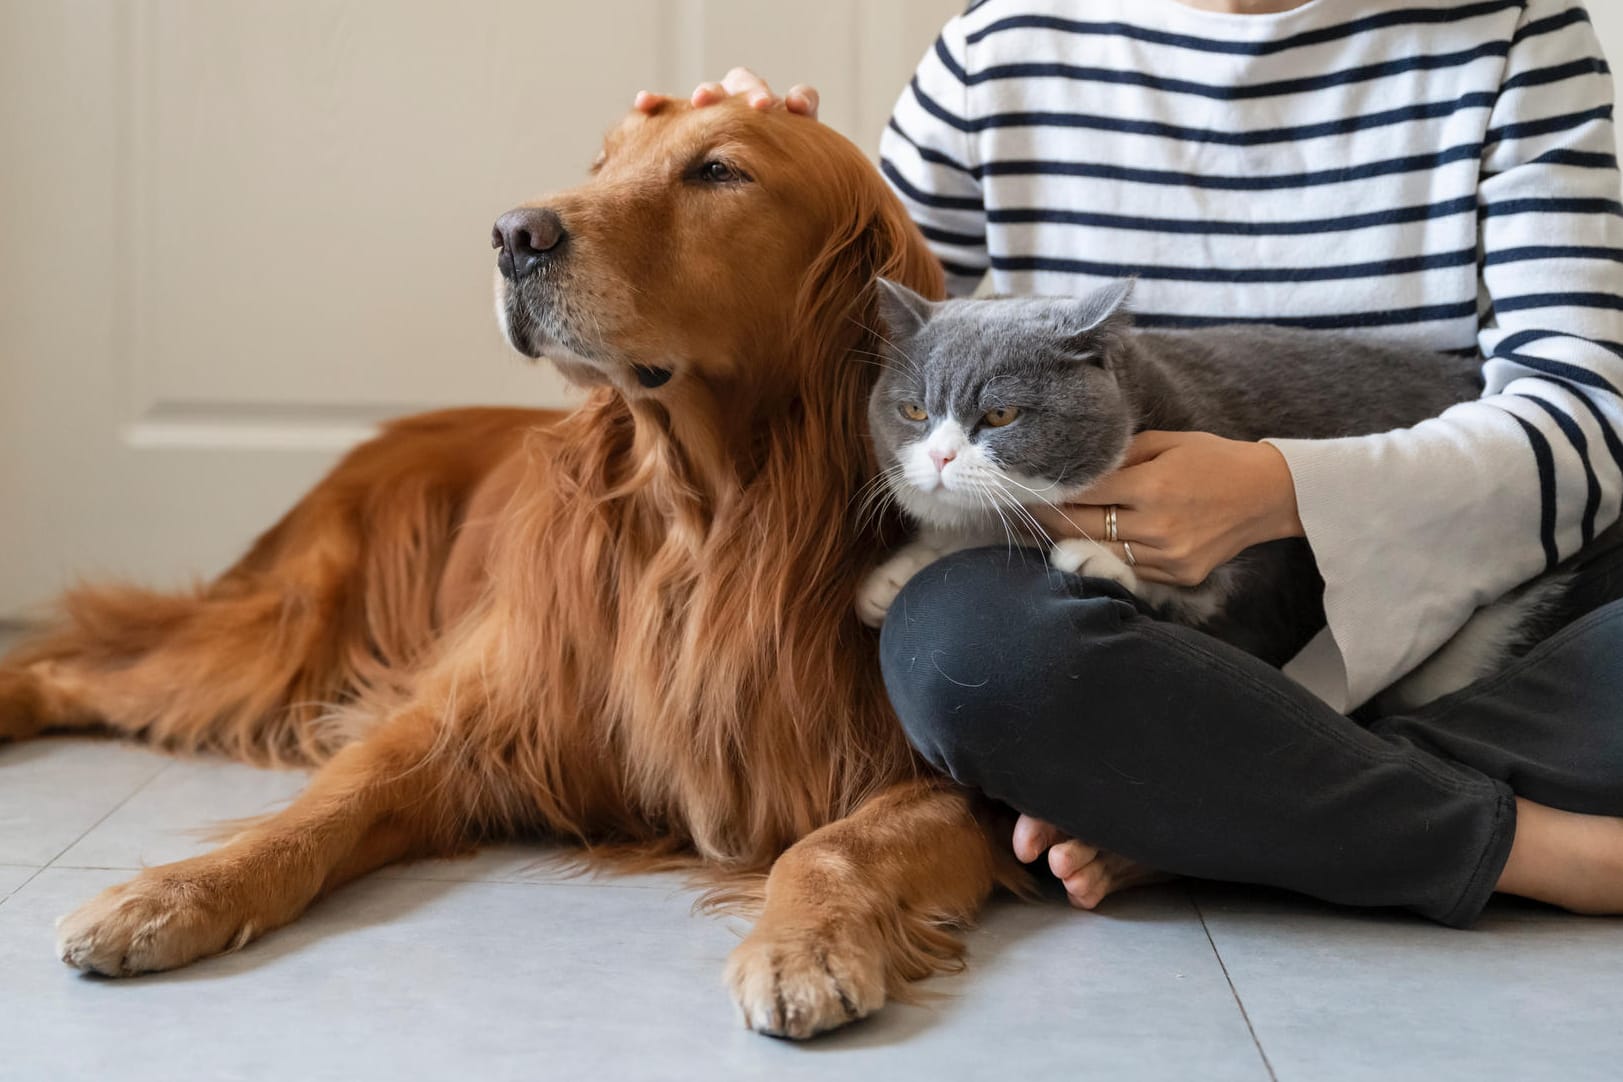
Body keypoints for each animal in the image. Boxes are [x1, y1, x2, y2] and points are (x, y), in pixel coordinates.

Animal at [0, 97, 1025, 1038]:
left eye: (718, 171)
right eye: (603, 162)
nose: (511, 235)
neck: (705, 522)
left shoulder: (951, 788)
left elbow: (829, 846)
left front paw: (801, 945)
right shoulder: (465, 719)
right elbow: (317, 812)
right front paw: (172, 893)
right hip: (285, 638)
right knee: (78, 660)